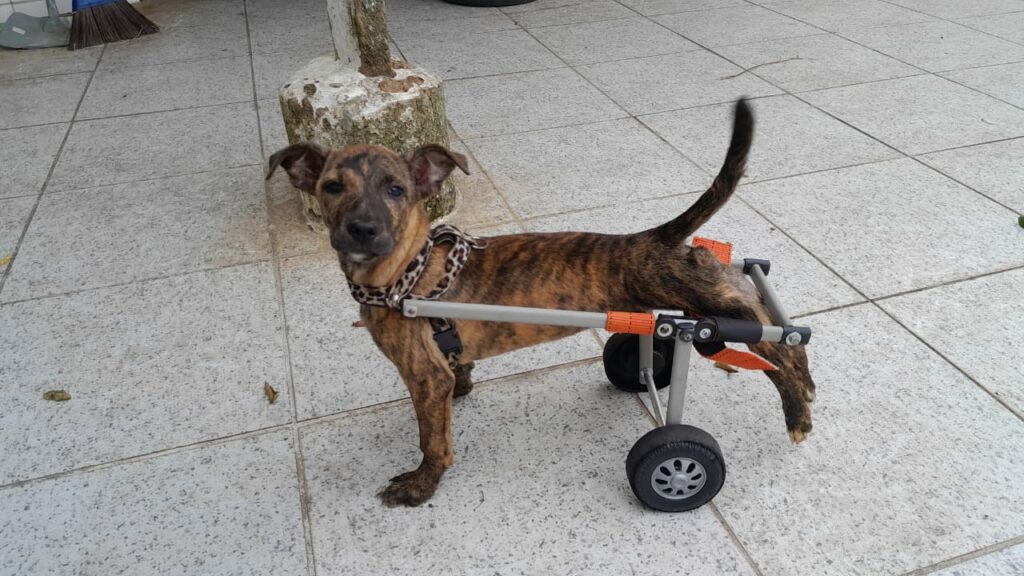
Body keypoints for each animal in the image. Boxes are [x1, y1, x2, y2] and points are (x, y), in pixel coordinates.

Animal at [268, 99, 811, 506]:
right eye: (332, 187)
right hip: (700, 297)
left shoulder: (423, 376)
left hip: (708, 304)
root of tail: (652, 238)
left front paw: (421, 485)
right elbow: (455, 383)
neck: (409, 271)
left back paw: (798, 410)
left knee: (782, 338)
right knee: (758, 307)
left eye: (396, 190)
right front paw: (463, 390)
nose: (362, 229)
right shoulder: (441, 365)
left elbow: (432, 441)